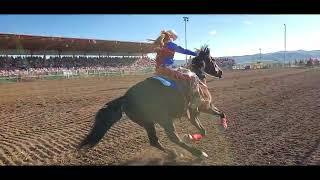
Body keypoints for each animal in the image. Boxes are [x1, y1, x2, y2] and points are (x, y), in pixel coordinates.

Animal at [77, 45, 228, 159]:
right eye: (213, 59)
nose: (220, 72)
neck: (196, 78)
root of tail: (126, 97)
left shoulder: (198, 110)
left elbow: (212, 121)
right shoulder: (202, 107)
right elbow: (209, 124)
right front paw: (194, 136)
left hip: (147, 123)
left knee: (154, 141)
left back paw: (173, 154)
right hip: (164, 120)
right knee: (173, 138)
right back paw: (198, 153)